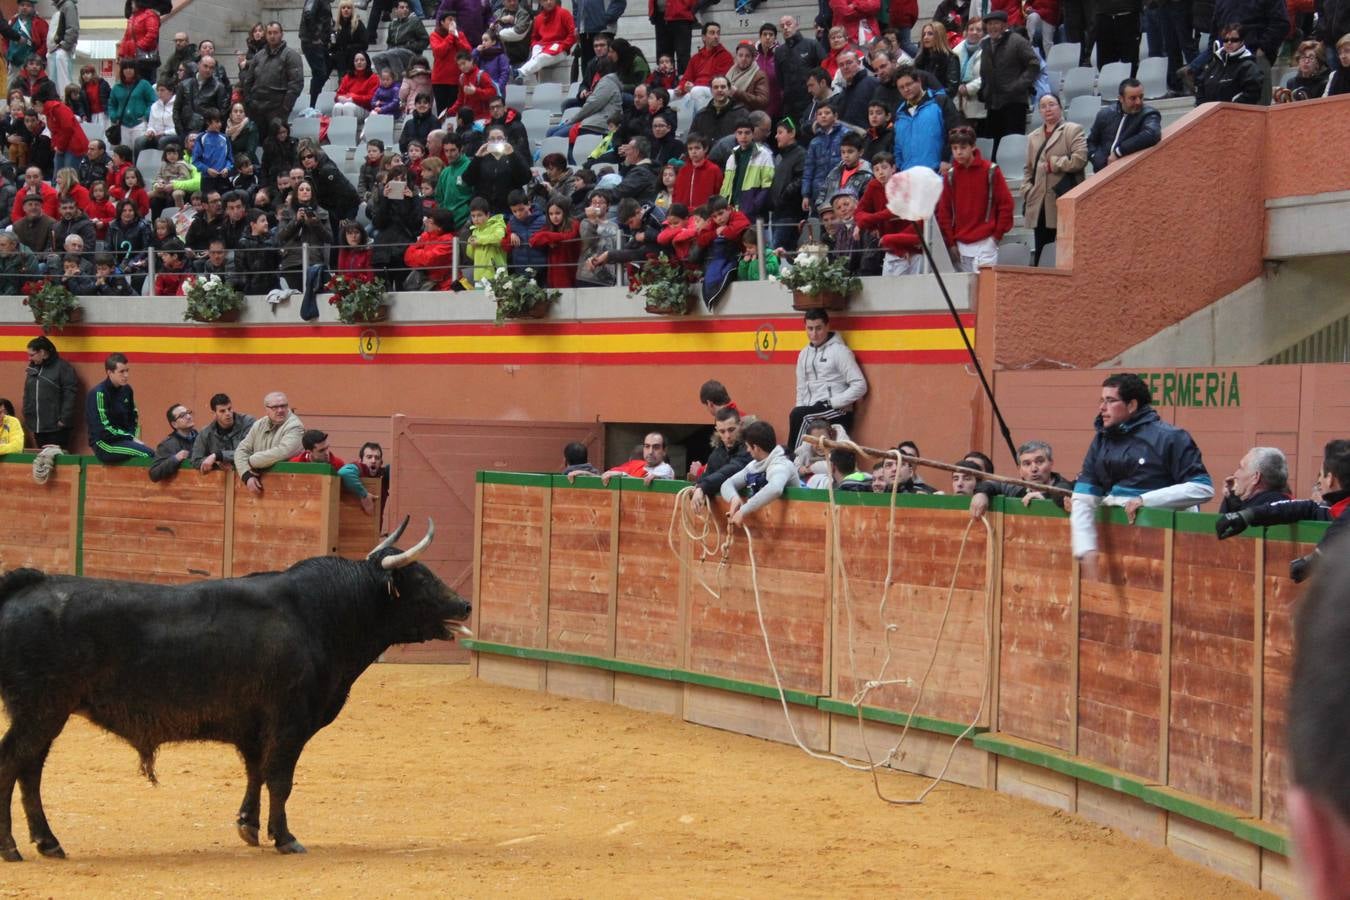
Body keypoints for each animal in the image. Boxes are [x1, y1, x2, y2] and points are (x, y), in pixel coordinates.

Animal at [0, 520, 469, 858]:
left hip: (46, 713)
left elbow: (256, 772)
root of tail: (28, 584)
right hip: (42, 710)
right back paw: (11, 848)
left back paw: (49, 843)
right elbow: (280, 778)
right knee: (13, 764)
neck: (319, 613)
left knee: (31, 770)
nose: (464, 604)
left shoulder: (257, 728)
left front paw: (249, 826)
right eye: (421, 580)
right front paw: (285, 838)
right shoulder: (289, 721)